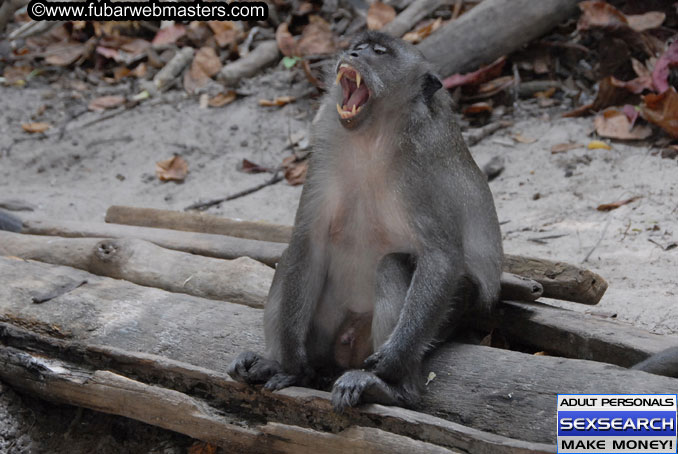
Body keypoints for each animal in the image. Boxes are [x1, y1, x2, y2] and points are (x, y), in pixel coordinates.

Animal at [228, 30, 504, 410]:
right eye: (358, 46)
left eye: (379, 52)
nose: (354, 54)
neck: (372, 137)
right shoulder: (323, 154)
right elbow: (307, 241)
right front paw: (291, 363)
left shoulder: (421, 167)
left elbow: (441, 256)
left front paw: (392, 362)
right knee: (291, 260)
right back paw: (282, 363)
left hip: (458, 310)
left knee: (393, 266)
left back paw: (393, 388)